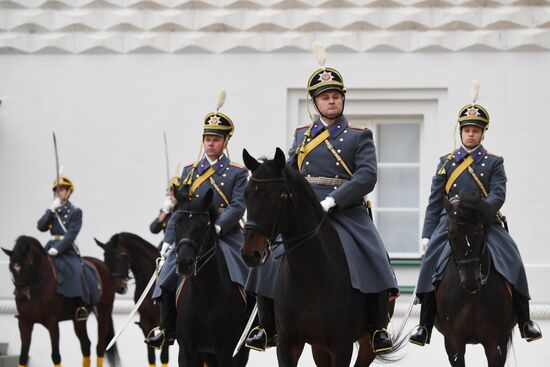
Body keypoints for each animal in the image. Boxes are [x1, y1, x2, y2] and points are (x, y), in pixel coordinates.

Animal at [2, 236, 119, 367]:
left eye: (29, 266)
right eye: (11, 268)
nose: (21, 297)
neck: (37, 287)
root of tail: (103, 266)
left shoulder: (52, 323)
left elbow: (56, 356)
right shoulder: (24, 323)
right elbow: (23, 357)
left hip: (104, 313)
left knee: (100, 346)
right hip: (78, 320)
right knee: (85, 345)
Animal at [95, 234, 171, 367]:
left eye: (119, 257)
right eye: (105, 260)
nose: (118, 288)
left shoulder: (163, 325)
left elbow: (164, 358)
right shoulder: (146, 324)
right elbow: (151, 357)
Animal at [171, 188, 253, 366]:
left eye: (205, 225)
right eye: (176, 223)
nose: (184, 263)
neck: (205, 292)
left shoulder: (227, 350)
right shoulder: (187, 349)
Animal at [242, 149, 402, 367]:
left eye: (276, 196)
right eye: (246, 195)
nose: (250, 254)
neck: (309, 275)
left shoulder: (341, 346)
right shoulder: (287, 344)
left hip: (367, 345)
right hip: (318, 347)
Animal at [438, 193, 520, 367]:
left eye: (479, 231)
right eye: (451, 234)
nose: (470, 282)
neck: (471, 297)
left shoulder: (495, 343)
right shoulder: (453, 343)